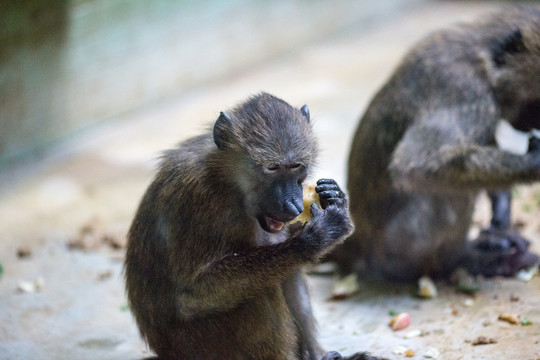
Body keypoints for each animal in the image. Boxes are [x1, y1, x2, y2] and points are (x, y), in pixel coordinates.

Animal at [125, 93, 380, 360]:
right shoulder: (194, 197)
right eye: (272, 168)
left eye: (296, 166)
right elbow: (190, 296)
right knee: (261, 290)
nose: (294, 205)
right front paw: (314, 239)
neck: (228, 183)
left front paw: (335, 196)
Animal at [336, 4, 540, 282]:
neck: (481, 59)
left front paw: (501, 212)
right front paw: (536, 162)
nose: (535, 125)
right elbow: (414, 165)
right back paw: (460, 261)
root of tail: (362, 244)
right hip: (400, 245)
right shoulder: (465, 93)